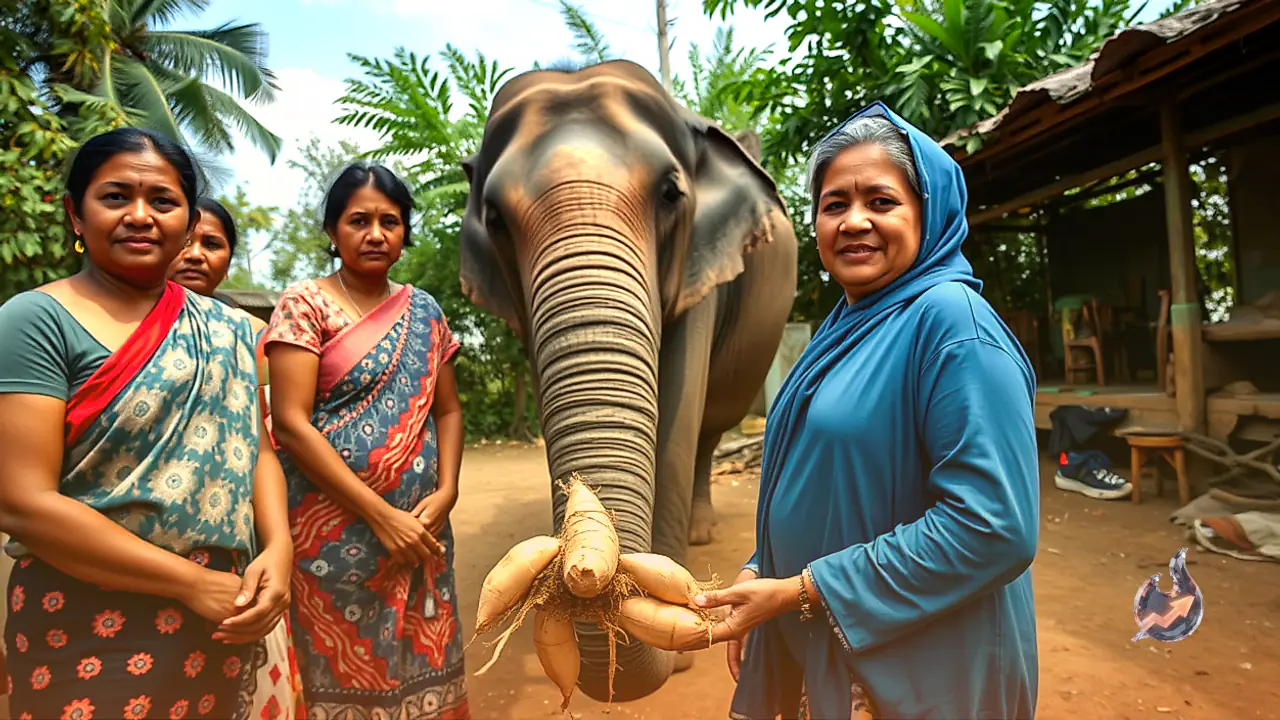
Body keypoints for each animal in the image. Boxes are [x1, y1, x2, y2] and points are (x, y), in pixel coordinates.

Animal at [458, 59, 798, 702]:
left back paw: (700, 533)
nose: (586, 580)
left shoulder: (702, 268)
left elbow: (680, 410)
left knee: (709, 426)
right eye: (493, 219)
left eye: (670, 193)